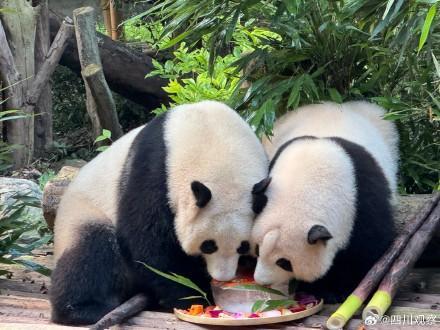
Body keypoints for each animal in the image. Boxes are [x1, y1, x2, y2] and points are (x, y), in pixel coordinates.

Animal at [251, 102, 398, 302]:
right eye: (258, 249)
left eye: (284, 262)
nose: (261, 281)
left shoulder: (364, 198)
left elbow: (367, 249)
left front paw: (338, 289)